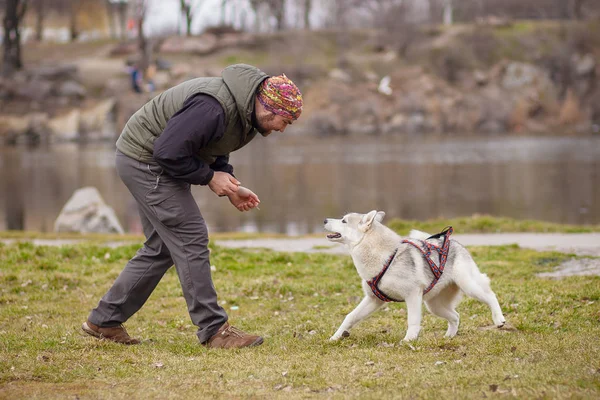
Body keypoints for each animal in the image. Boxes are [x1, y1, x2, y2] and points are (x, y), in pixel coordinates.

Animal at [324, 211, 506, 342]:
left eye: (344, 221)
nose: (325, 220)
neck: (386, 258)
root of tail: (451, 241)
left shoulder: (412, 295)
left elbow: (412, 320)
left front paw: (409, 340)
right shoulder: (373, 299)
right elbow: (350, 317)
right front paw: (335, 337)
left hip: (469, 285)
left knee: (490, 296)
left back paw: (499, 319)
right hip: (434, 305)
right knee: (455, 316)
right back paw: (449, 336)